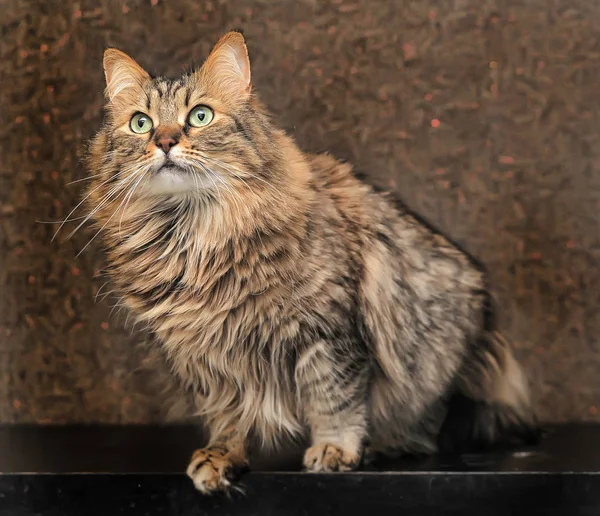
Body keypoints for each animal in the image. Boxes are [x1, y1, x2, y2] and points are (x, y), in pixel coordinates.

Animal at [83, 30, 536, 494]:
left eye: (201, 116)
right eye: (141, 123)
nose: (165, 142)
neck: (190, 237)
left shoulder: (327, 333)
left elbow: (334, 400)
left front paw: (335, 449)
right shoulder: (207, 357)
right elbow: (227, 416)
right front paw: (222, 457)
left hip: (440, 356)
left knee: (428, 426)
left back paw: (384, 444)